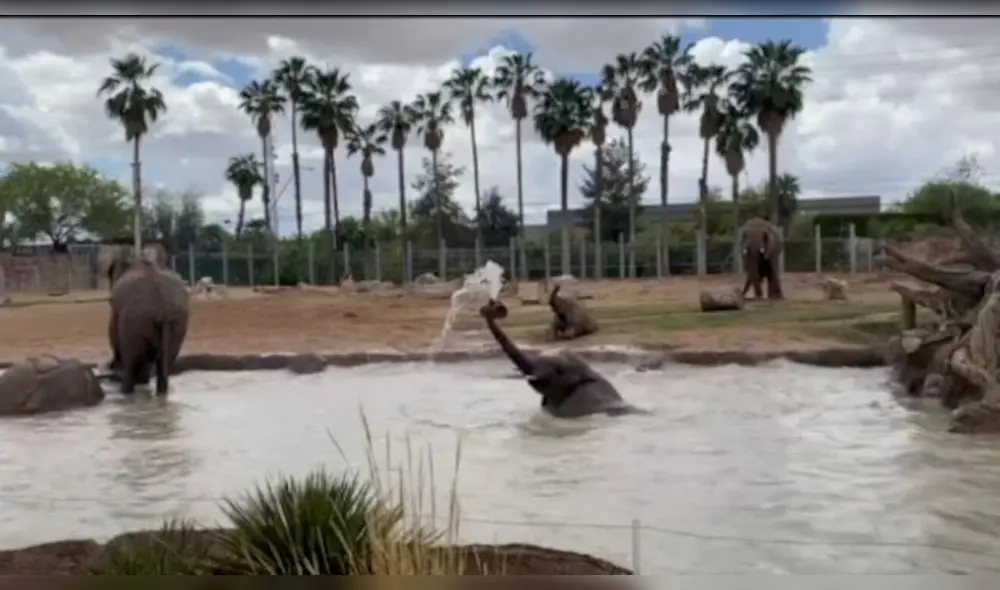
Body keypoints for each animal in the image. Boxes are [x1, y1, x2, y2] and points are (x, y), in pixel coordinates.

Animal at [107, 256, 190, 395]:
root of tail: (163, 311)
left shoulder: (115, 308)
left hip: (135, 321)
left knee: (130, 359)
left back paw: (125, 391)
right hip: (179, 324)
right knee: (167, 360)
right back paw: (161, 393)